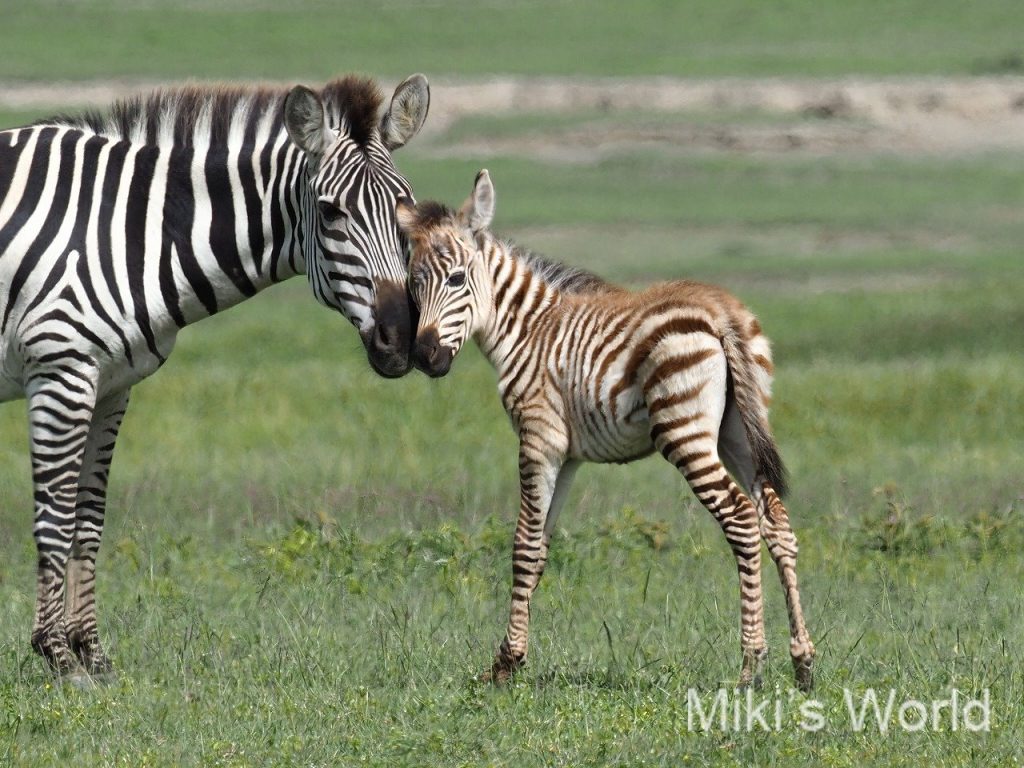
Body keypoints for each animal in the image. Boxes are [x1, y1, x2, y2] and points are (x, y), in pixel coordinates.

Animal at [0, 73, 430, 679]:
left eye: (406, 207)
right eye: (329, 213)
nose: (400, 340)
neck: (136, 231)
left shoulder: (111, 384)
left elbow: (89, 515)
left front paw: (92, 654)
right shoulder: (60, 370)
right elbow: (55, 514)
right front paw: (57, 656)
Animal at [396, 170, 816, 691]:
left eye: (457, 279)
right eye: (413, 285)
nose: (425, 357)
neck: (527, 329)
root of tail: (720, 311)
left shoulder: (538, 438)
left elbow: (522, 545)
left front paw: (506, 663)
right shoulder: (568, 454)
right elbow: (540, 548)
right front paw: (513, 657)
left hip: (685, 430)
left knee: (740, 518)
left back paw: (750, 667)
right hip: (738, 431)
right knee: (775, 520)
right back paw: (803, 663)